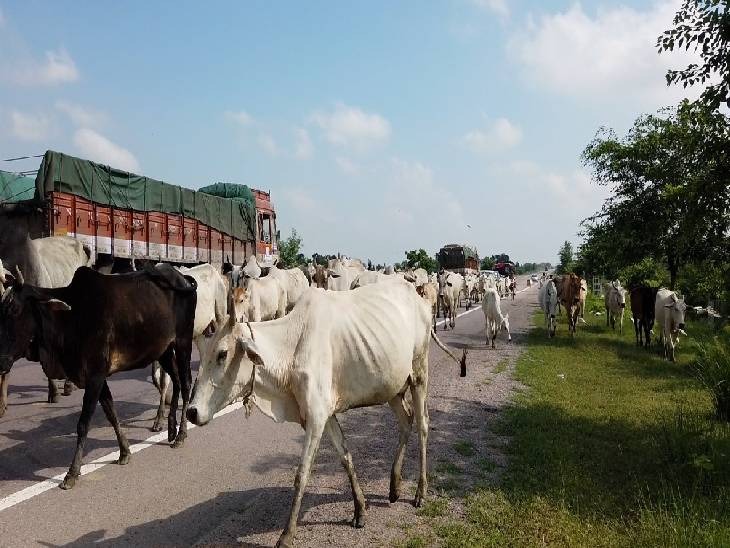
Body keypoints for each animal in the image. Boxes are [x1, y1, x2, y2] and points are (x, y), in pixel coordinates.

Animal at [0, 264, 196, 490]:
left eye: (15, 310)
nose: (1, 362)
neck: (70, 318)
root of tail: (183, 277)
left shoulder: (95, 376)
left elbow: (83, 424)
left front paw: (72, 473)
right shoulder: (97, 378)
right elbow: (111, 413)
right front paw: (124, 452)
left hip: (183, 342)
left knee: (186, 383)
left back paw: (181, 435)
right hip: (163, 351)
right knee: (177, 381)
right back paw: (171, 429)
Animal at [185, 280, 464, 544]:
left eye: (222, 354)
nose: (191, 412)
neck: (291, 349)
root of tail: (418, 297)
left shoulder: (316, 418)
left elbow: (302, 474)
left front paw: (286, 535)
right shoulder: (324, 415)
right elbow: (345, 456)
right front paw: (360, 510)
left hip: (419, 375)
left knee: (423, 424)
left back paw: (420, 492)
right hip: (392, 386)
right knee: (406, 421)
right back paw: (394, 486)